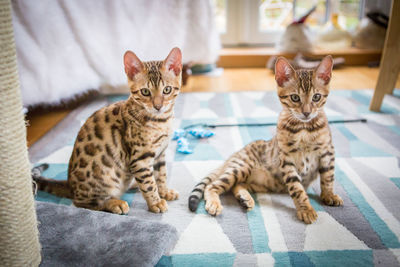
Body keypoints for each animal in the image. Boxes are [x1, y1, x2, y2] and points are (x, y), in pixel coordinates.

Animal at [35, 47, 182, 215]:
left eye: (167, 90)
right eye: (145, 92)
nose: (158, 106)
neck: (161, 121)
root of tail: (70, 185)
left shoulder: (160, 153)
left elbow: (161, 174)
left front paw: (164, 191)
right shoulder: (139, 159)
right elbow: (149, 183)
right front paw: (156, 202)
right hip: (103, 179)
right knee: (82, 203)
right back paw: (115, 203)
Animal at [189, 56, 342, 224]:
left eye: (316, 97)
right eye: (295, 97)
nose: (307, 113)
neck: (304, 129)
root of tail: (234, 155)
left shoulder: (327, 152)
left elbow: (328, 177)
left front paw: (328, 195)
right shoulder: (286, 159)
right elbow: (297, 188)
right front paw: (306, 209)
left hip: (261, 184)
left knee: (237, 185)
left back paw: (244, 198)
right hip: (241, 167)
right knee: (212, 185)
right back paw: (215, 203)